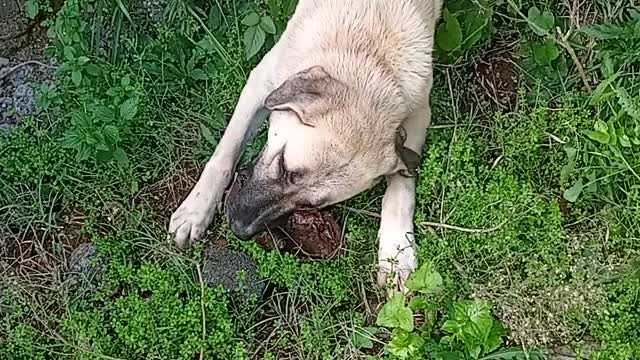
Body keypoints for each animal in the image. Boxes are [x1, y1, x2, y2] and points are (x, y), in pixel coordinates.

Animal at [168, 0, 442, 292]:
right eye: (283, 165)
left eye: (309, 206)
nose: (239, 228)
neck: (370, 50)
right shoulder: (262, 82)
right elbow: (226, 152)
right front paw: (196, 210)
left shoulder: (418, 115)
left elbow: (400, 190)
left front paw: (397, 254)